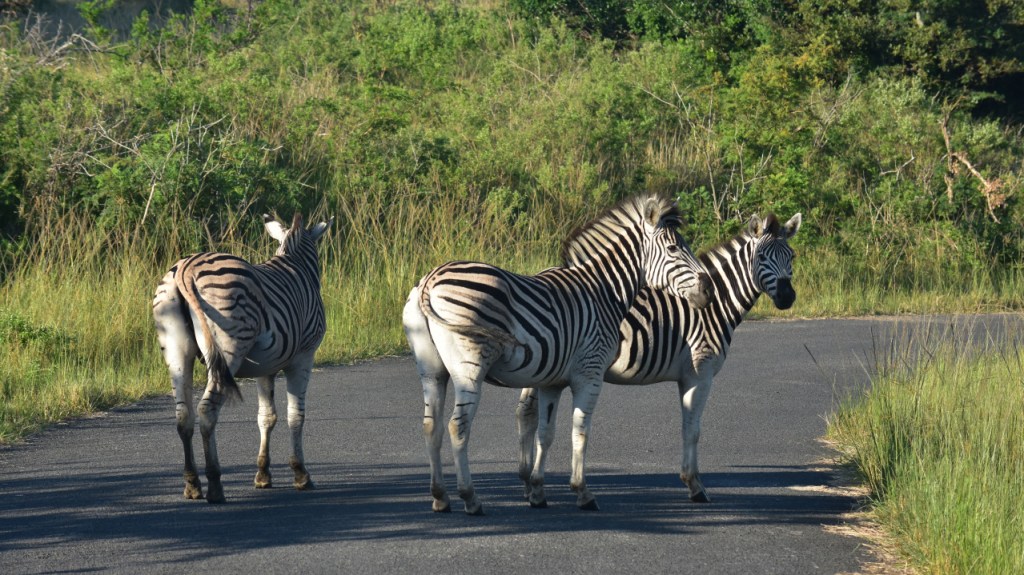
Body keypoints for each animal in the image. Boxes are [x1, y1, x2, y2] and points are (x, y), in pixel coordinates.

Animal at [152, 213, 332, 503]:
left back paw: (192, 484)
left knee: (183, 415)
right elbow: (296, 415)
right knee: (207, 410)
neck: (296, 264)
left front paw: (263, 475)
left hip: (175, 349)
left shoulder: (266, 366)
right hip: (229, 345)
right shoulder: (304, 356)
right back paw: (215, 485)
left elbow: (266, 416)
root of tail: (184, 270)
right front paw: (301, 474)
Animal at [403, 193, 715, 515]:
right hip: (469, 368)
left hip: (432, 370)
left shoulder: (551, 381)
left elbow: (546, 432)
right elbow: (581, 430)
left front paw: (538, 493)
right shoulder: (590, 373)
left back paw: (440, 497)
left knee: (431, 426)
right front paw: (583, 492)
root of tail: (430, 279)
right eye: (674, 248)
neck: (604, 292)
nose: (709, 289)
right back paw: (470, 498)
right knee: (457, 426)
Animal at [517, 212, 801, 504]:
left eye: (791, 256)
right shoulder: (700, 373)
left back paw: (529, 483)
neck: (716, 306)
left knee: (526, 412)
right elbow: (692, 429)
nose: (787, 297)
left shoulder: (687, 376)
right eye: (761, 257)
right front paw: (695, 485)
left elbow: (688, 426)